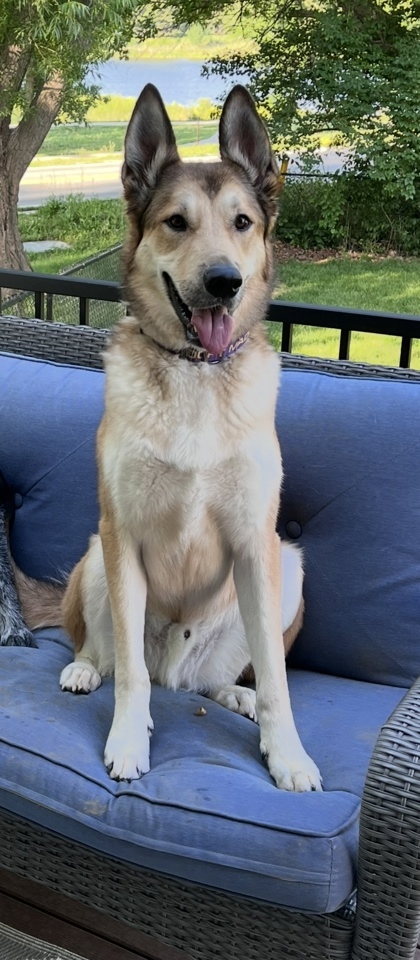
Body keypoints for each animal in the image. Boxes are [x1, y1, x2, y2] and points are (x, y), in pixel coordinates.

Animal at [51, 80, 318, 788]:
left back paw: (233, 696)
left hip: (288, 567)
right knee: (112, 656)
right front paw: (127, 739)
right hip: (97, 556)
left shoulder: (258, 544)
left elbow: (279, 679)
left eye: (242, 223)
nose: (224, 282)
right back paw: (86, 668)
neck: (197, 371)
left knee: (214, 682)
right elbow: (130, 677)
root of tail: (177, 667)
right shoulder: (124, 534)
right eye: (176, 222)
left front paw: (287, 753)